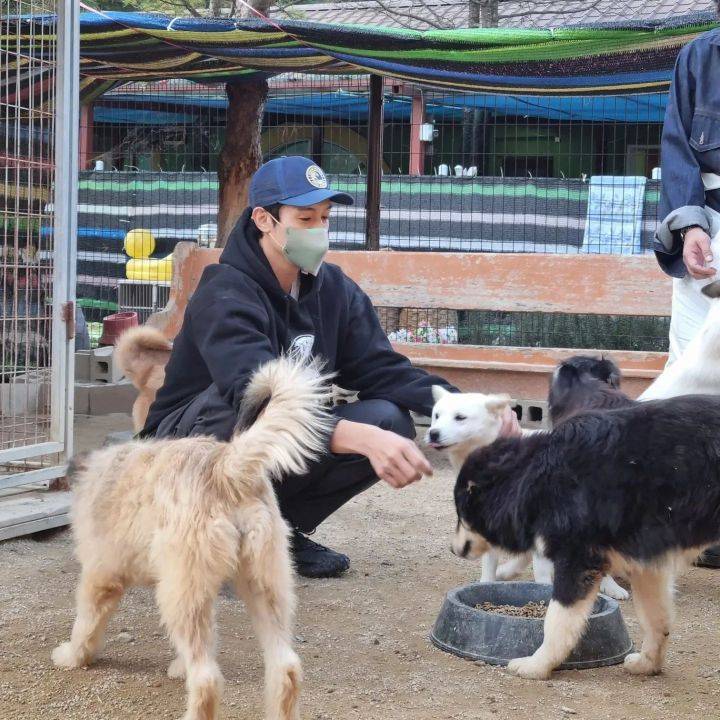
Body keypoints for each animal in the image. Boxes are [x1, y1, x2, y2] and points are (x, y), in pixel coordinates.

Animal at [52, 358, 334, 720]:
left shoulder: (101, 576)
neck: (105, 473)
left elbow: (85, 623)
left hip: (181, 595)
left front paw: (73, 656)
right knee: (286, 668)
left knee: (207, 680)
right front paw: (179, 666)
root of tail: (226, 467)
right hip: (262, 586)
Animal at [452, 394, 720, 680]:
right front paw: (648, 663)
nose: (453, 549)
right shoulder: (646, 560)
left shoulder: (577, 559)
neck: (537, 475)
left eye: (461, 514)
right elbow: (655, 618)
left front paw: (537, 665)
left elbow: (557, 620)